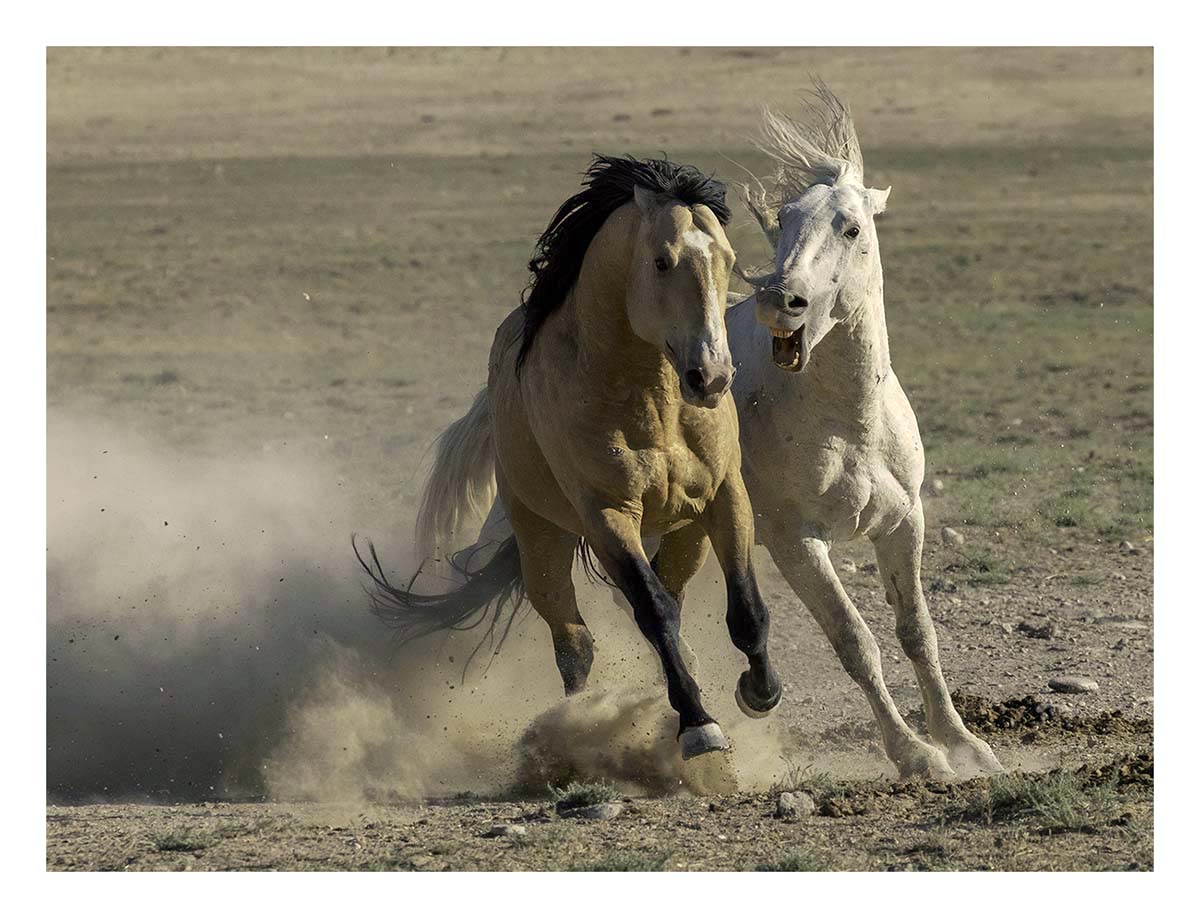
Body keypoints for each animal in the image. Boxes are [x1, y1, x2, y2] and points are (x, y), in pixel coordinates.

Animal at [356, 155, 783, 762]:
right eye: (662, 261)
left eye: (727, 259)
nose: (712, 376)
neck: (651, 406)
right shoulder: (607, 517)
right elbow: (653, 614)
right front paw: (699, 726)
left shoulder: (724, 497)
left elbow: (745, 608)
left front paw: (759, 692)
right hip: (541, 542)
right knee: (575, 641)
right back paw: (580, 720)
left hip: (682, 536)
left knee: (669, 603)